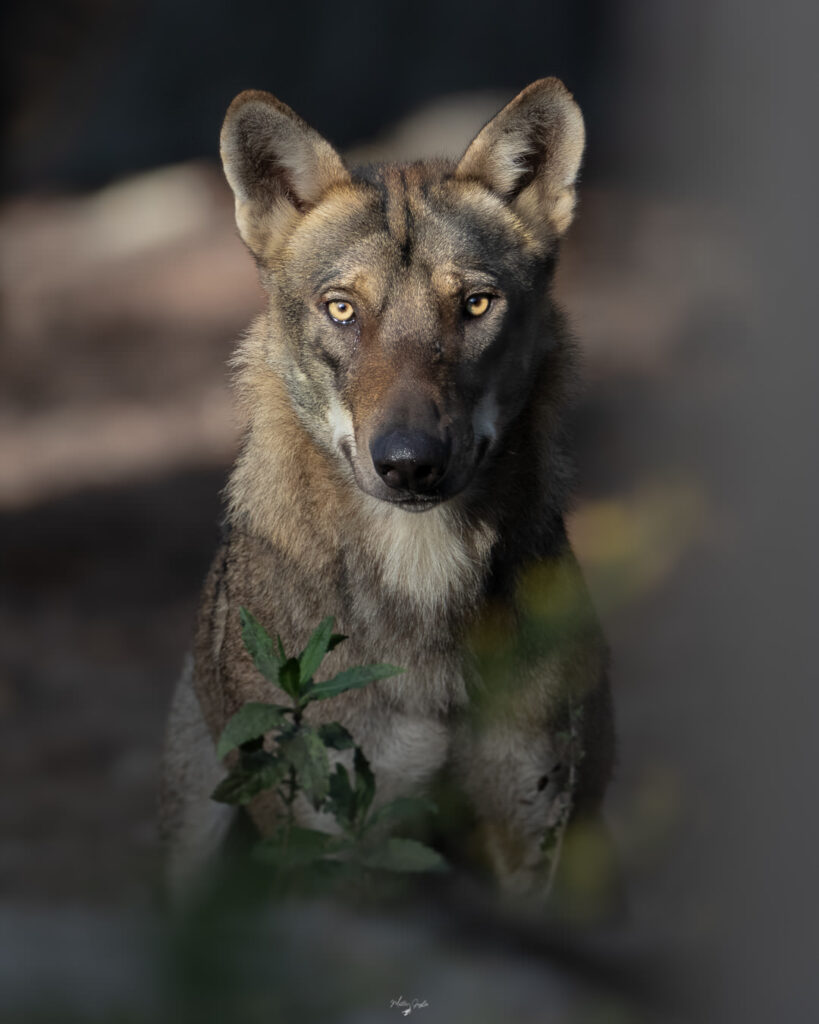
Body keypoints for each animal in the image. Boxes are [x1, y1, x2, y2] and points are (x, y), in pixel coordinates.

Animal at [159, 78, 614, 897]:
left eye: (474, 305)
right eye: (343, 308)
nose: (409, 462)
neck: (422, 576)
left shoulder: (534, 841)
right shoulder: (331, 843)